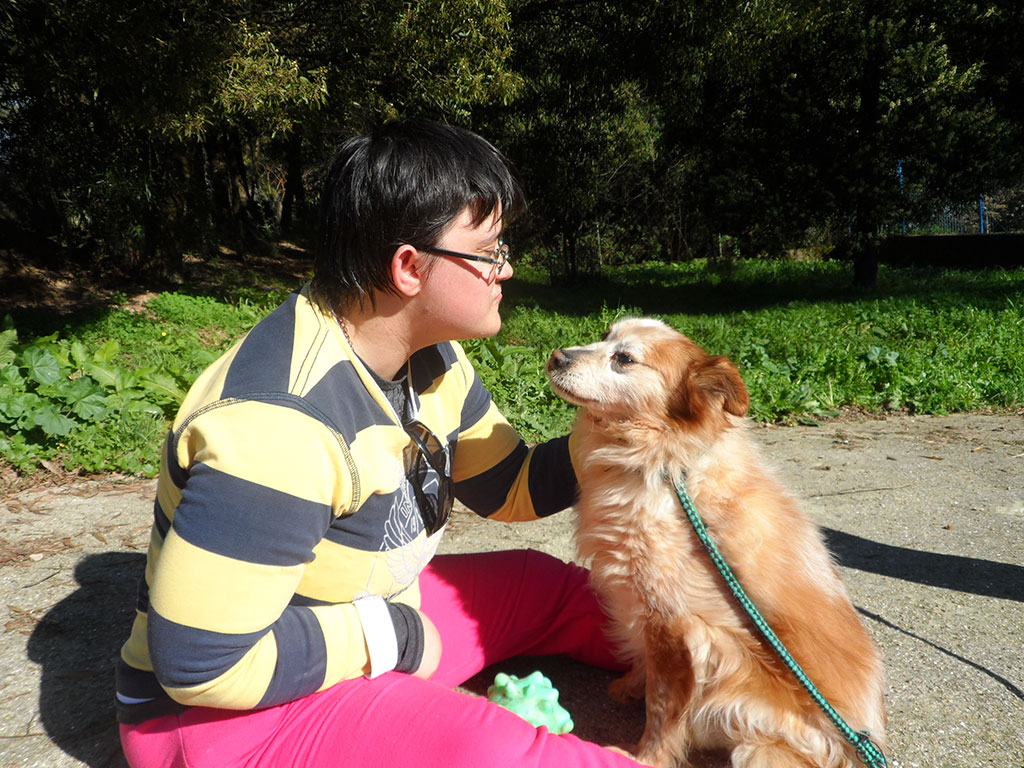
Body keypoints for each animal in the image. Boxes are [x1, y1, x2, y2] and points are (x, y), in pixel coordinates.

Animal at [546, 318, 886, 768]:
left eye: (625, 359)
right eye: (604, 336)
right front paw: (630, 684)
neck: (669, 470)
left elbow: (662, 707)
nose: (556, 356)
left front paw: (645, 757)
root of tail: (855, 750)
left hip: (740, 705)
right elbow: (644, 668)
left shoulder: (679, 626)